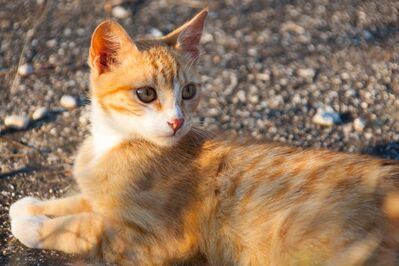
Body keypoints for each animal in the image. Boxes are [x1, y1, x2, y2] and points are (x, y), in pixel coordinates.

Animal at [7, 8, 399, 266]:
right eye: (146, 94)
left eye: (189, 91)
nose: (177, 122)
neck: (113, 142)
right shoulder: (102, 198)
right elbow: (76, 201)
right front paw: (31, 206)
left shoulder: (152, 241)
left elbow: (78, 227)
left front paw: (33, 225)